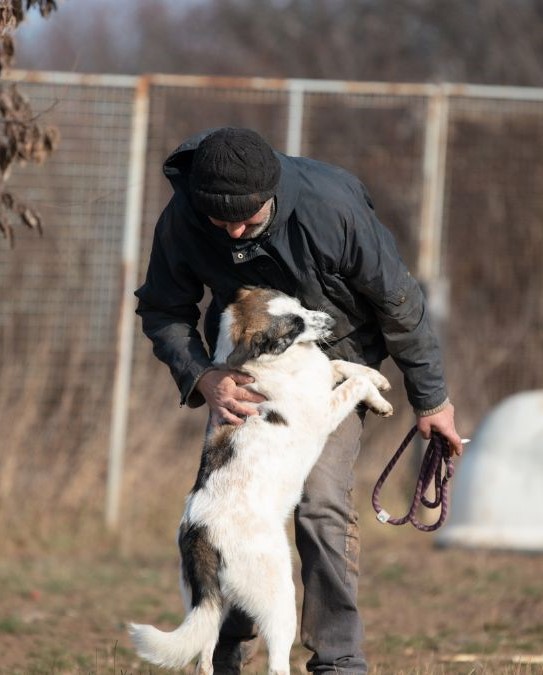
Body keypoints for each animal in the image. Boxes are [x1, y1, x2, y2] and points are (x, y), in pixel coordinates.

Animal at [131, 288, 396, 672]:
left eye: (299, 304)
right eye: (294, 325)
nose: (332, 320)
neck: (268, 362)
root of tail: (201, 533)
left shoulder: (322, 374)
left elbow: (343, 367)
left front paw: (379, 386)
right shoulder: (324, 410)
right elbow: (352, 382)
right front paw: (375, 393)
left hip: (208, 610)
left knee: (204, 661)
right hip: (280, 598)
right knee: (277, 661)